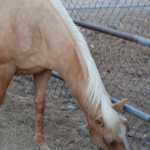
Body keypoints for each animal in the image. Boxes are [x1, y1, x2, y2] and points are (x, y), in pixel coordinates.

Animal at [0, 0, 133, 150]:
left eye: (127, 127)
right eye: (110, 141)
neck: (36, 25)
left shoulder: (43, 71)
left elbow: (40, 104)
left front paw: (41, 143)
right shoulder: (5, 68)